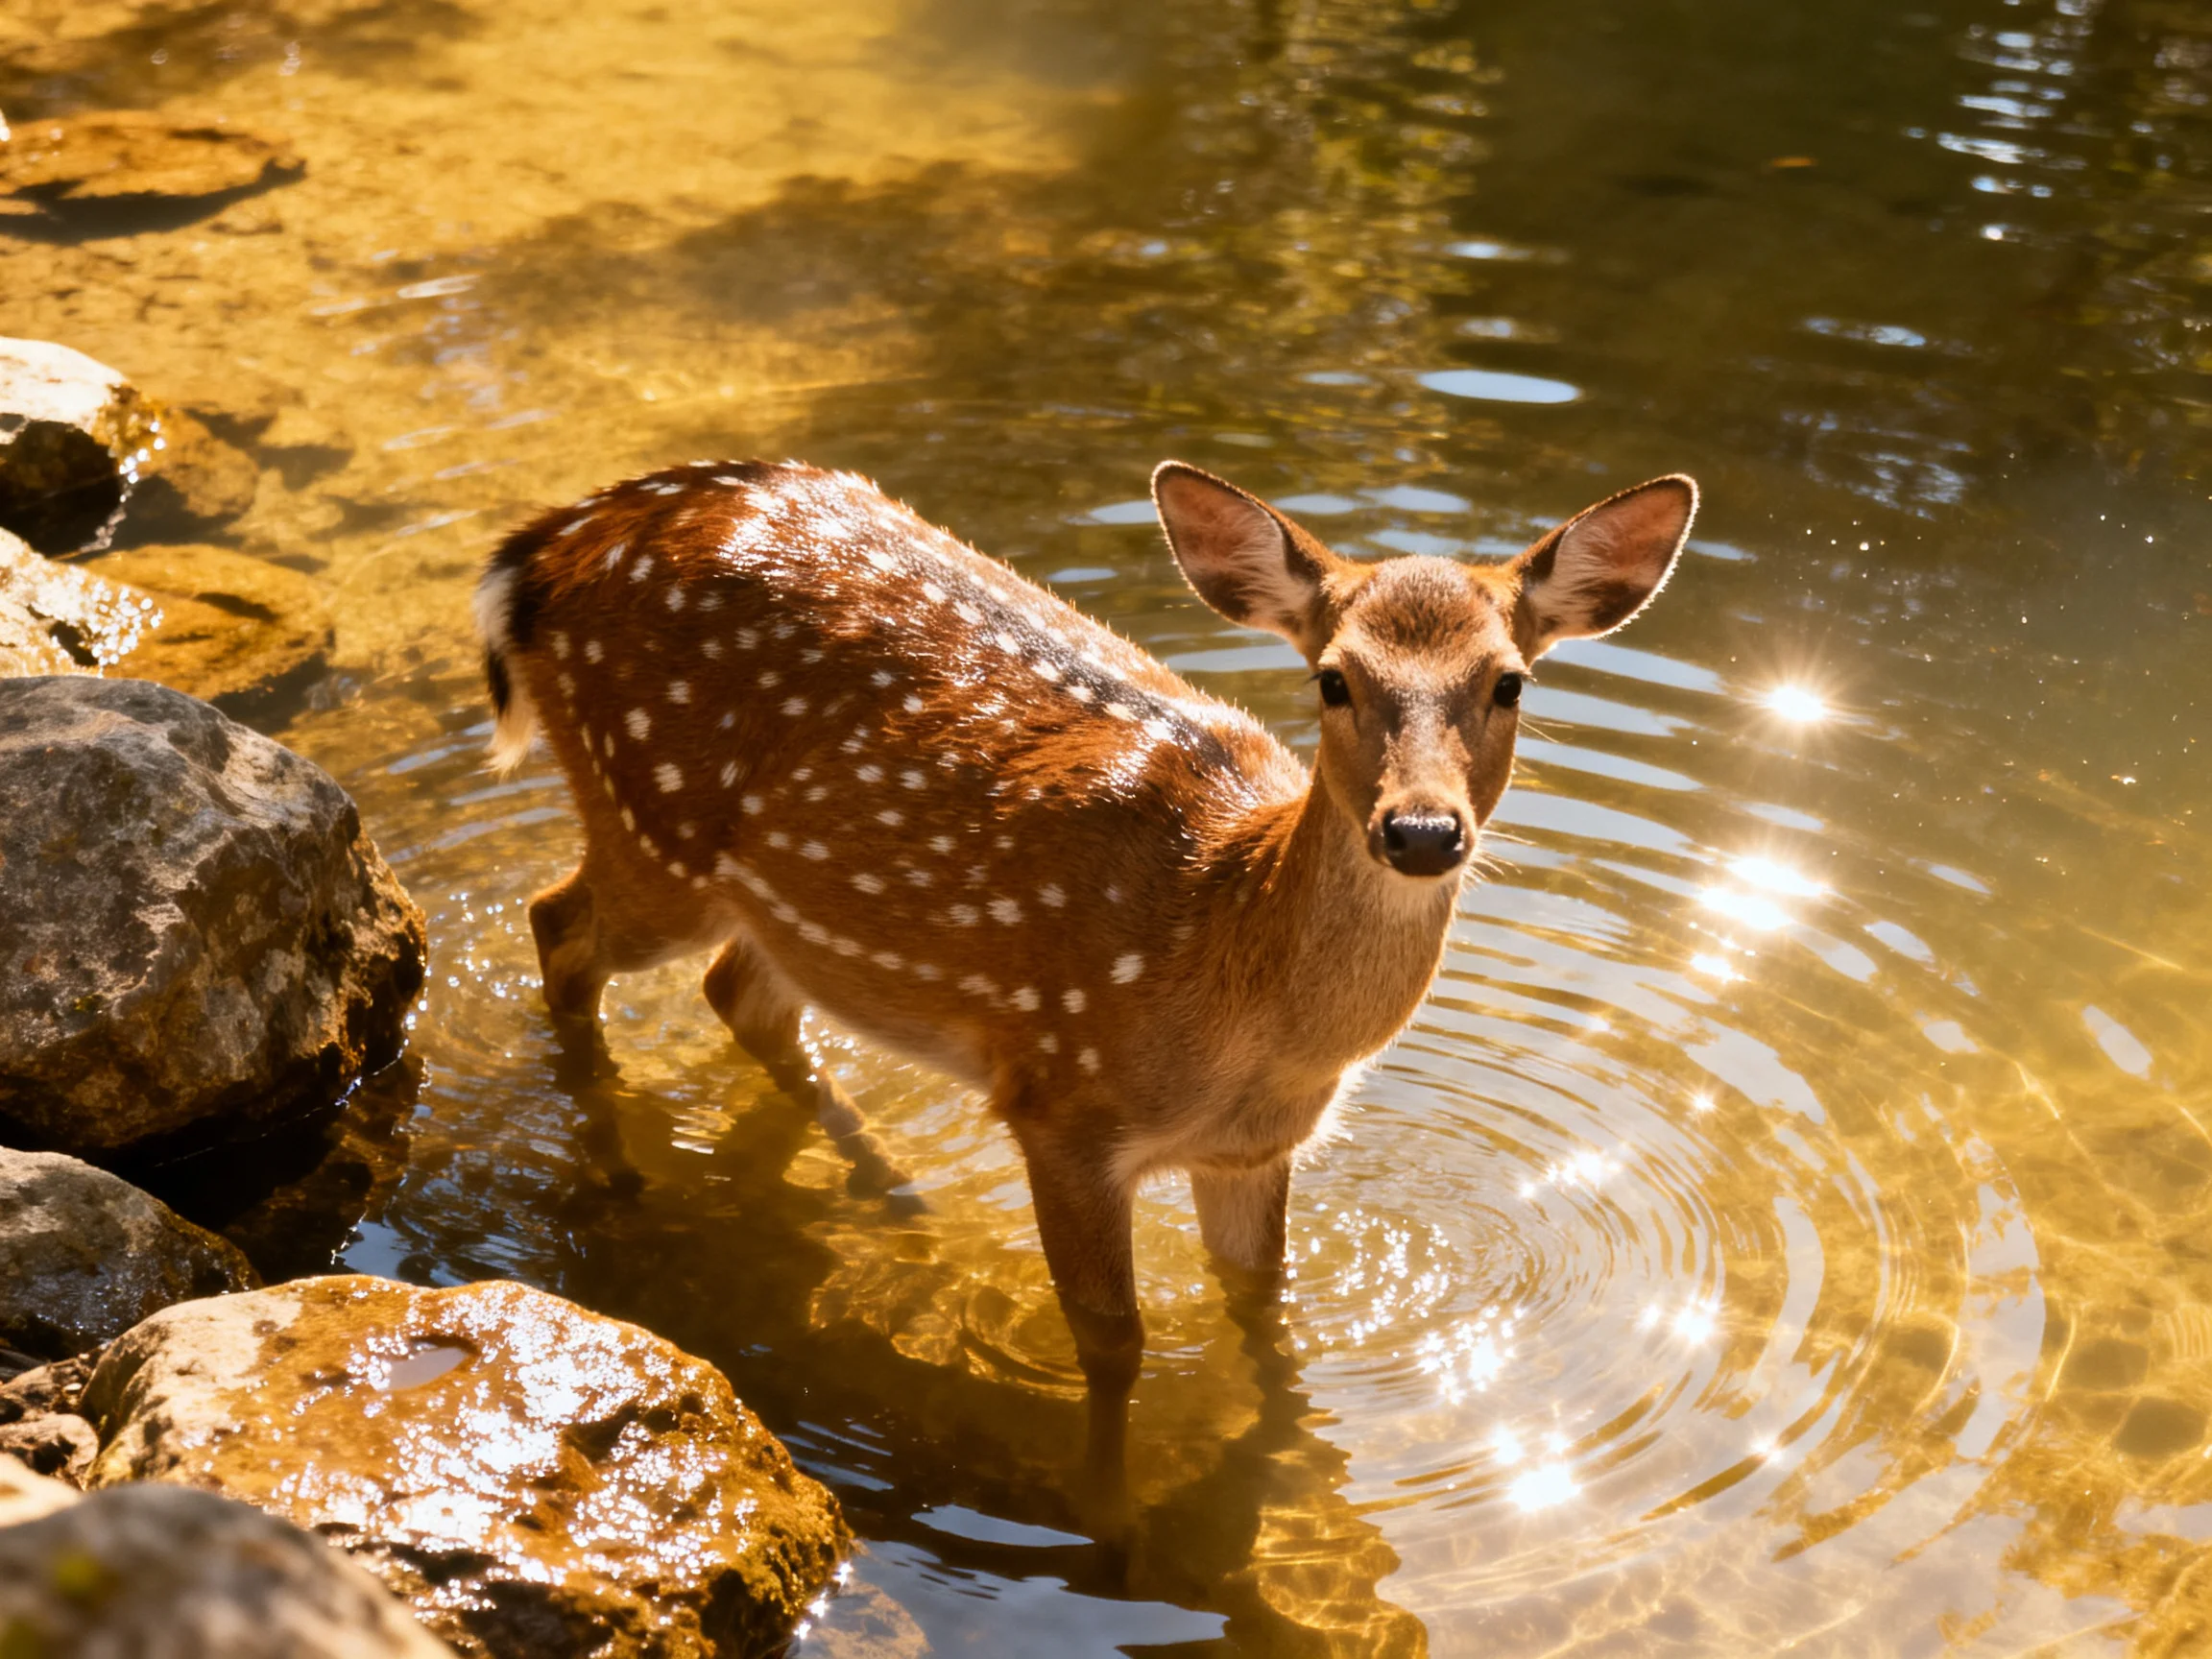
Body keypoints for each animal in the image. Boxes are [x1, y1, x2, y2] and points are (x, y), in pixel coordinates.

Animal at [474, 455, 1695, 1493]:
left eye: (1511, 683)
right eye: (1334, 680)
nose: (1422, 830)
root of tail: (540, 552)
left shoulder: (1254, 1151)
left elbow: (1263, 1310)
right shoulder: (1062, 1101)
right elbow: (1113, 1346)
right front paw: (1110, 1521)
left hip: (777, 905)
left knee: (739, 994)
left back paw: (898, 1196)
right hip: (654, 822)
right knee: (557, 926)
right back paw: (619, 1182)